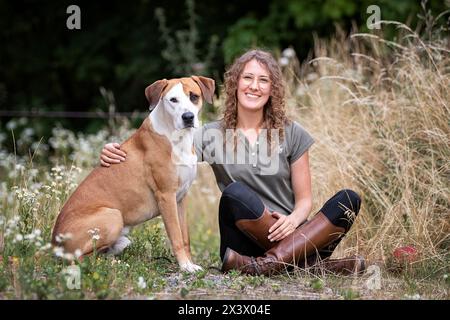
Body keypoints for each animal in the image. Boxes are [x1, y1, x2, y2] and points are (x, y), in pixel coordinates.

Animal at [52, 75, 214, 272]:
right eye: (173, 100)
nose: (188, 117)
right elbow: (176, 236)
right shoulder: (166, 196)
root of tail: (54, 243)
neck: (177, 139)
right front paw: (185, 266)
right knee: (78, 258)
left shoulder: (181, 199)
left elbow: (185, 237)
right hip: (113, 216)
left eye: (194, 96)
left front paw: (190, 263)